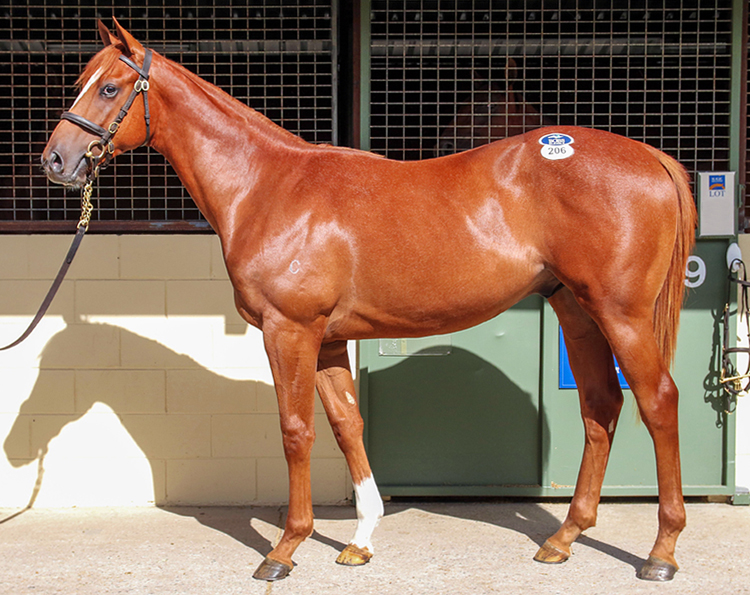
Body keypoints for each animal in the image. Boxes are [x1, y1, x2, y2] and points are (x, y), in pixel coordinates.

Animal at [42, 21, 700, 584]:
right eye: (79, 84)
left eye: (109, 88)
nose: (55, 161)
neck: (265, 186)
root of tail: (652, 157)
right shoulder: (329, 338)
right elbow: (346, 425)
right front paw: (360, 540)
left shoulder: (289, 330)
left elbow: (296, 430)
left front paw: (285, 549)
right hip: (576, 311)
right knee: (600, 407)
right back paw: (563, 539)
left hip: (622, 315)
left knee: (658, 402)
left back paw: (661, 552)